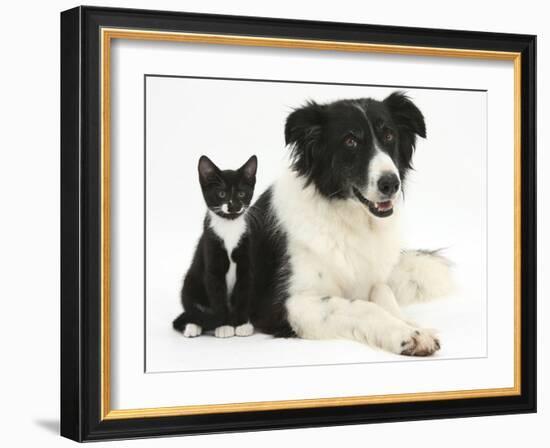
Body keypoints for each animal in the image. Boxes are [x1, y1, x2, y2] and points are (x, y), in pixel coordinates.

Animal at [172, 156, 258, 338]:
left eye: (241, 193)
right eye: (221, 194)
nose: (233, 206)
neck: (229, 227)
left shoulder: (246, 265)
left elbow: (243, 294)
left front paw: (241, 324)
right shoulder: (212, 262)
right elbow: (218, 297)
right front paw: (224, 325)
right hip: (190, 282)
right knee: (192, 309)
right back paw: (193, 326)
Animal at [249, 92, 452, 356]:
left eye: (389, 135)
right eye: (350, 141)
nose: (391, 183)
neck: (350, 221)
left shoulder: (374, 279)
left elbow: (384, 294)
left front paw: (411, 325)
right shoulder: (289, 303)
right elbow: (363, 307)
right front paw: (406, 335)